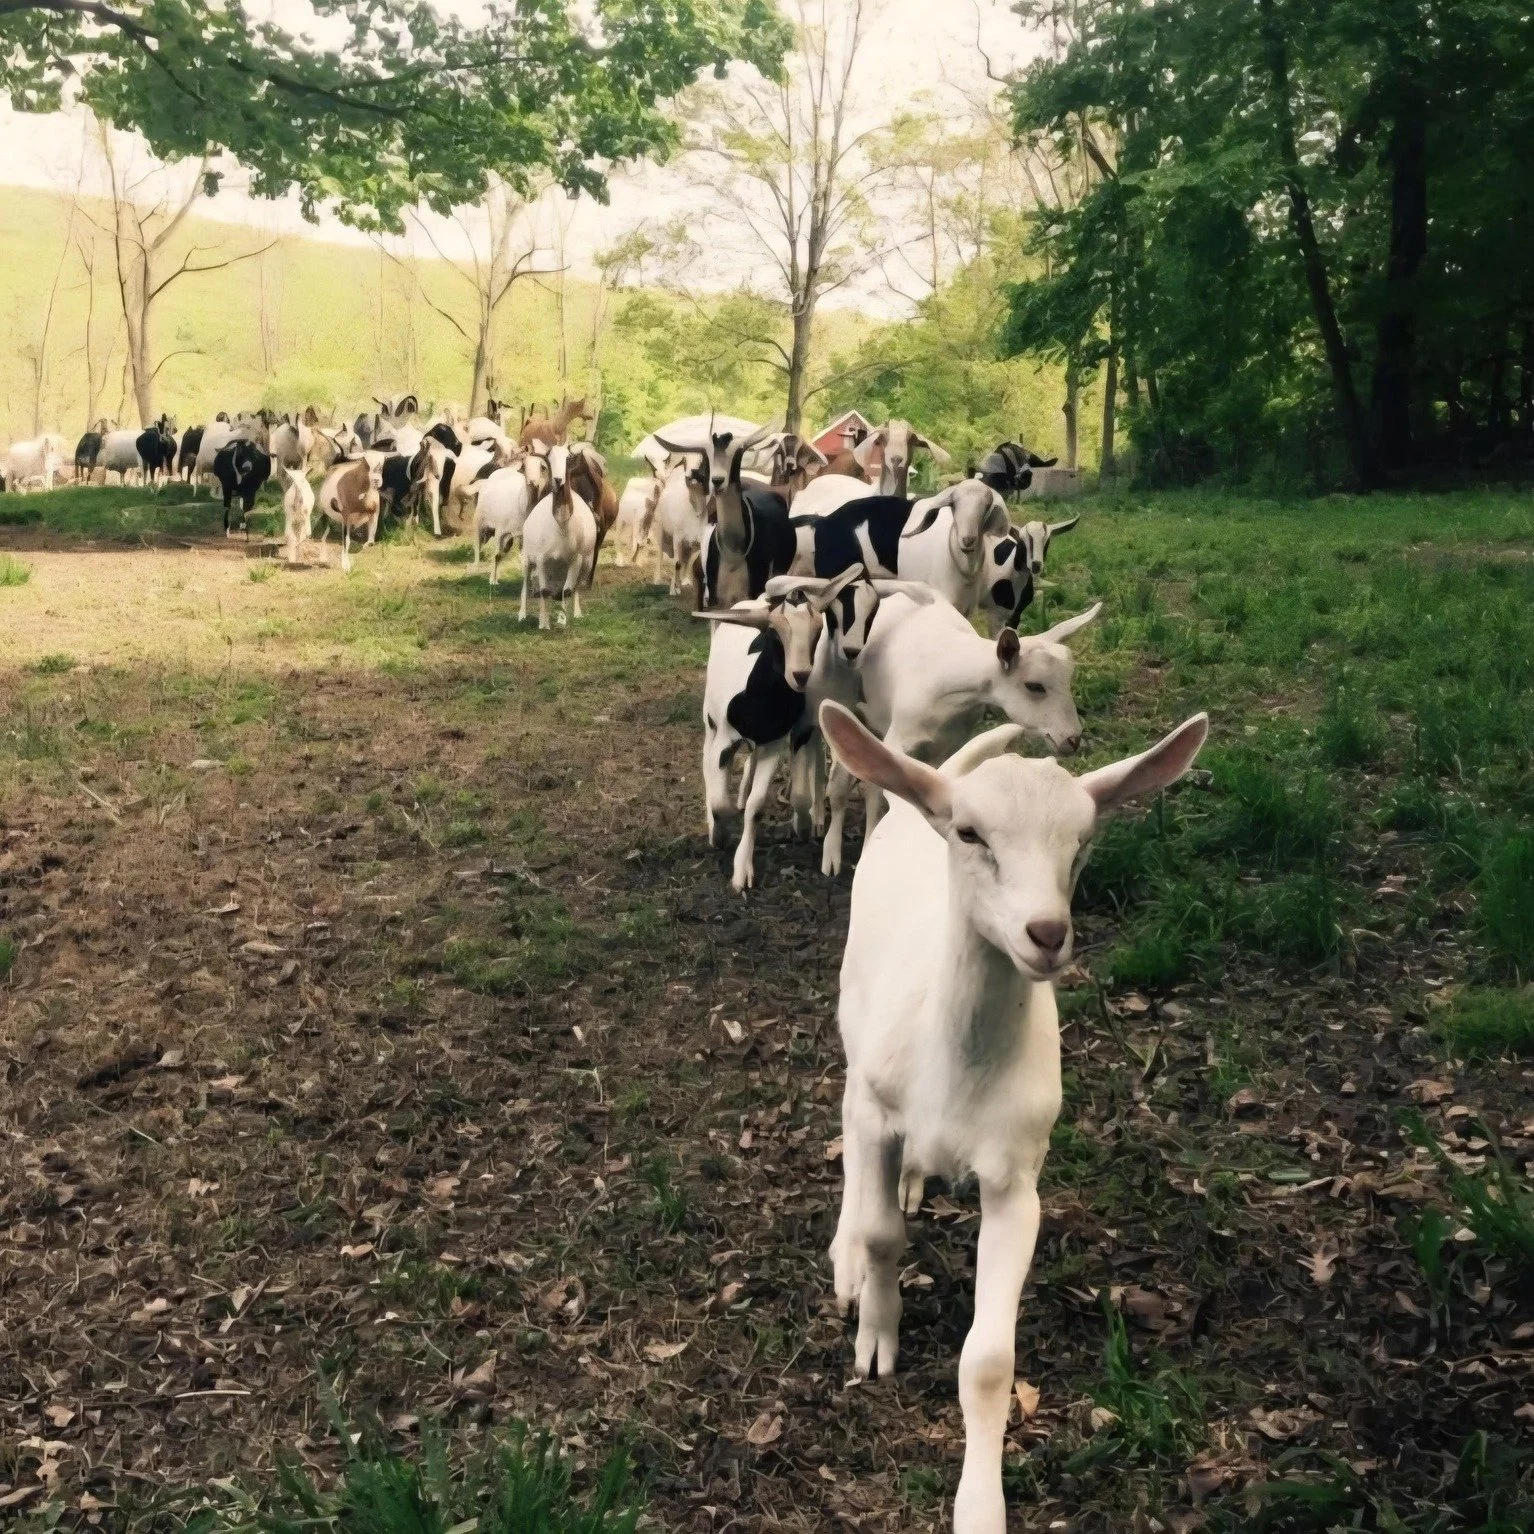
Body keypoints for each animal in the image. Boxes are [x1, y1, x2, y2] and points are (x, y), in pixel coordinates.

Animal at [519, 443, 597, 629]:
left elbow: (567, 591)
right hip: (527, 558)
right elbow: (543, 591)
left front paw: (562, 620)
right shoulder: (541, 558)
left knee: (573, 588)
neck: (561, 526)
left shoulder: (575, 559)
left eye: (568, 458)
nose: (558, 480)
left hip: (586, 563)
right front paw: (544, 624)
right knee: (527, 585)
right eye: (548, 460)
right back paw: (523, 615)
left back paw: (576, 613)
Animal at [819, 701, 1208, 1534]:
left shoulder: (1018, 1174)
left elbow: (991, 1362)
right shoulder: (879, 1105)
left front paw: (980, 1507)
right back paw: (848, 1254)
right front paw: (876, 1334)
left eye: (1083, 839)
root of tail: (924, 792)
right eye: (972, 834)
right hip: (853, 1031)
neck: (956, 1071)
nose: (1046, 934)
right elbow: (881, 1234)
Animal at [820, 600, 1102, 877]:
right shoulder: (896, 740)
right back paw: (831, 854)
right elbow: (876, 795)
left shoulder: (948, 746)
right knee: (839, 780)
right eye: (1034, 686)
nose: (1072, 739)